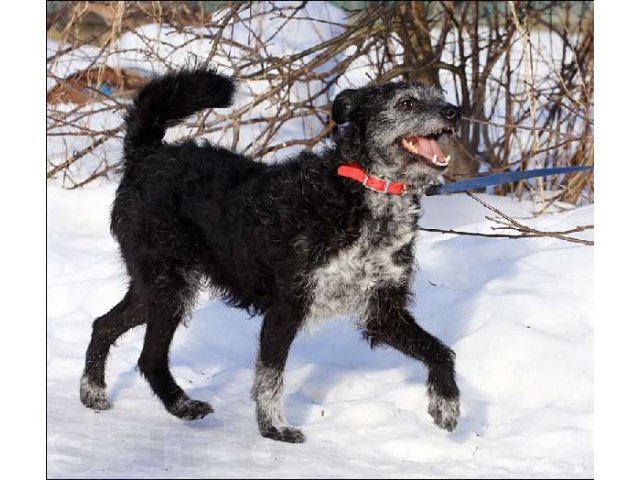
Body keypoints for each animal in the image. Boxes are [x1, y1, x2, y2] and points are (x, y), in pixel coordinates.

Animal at [80, 67, 462, 442]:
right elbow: (270, 376)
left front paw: (446, 403)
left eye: (440, 96)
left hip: (153, 287)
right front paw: (273, 428)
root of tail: (145, 154)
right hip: (170, 285)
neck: (367, 190)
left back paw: (94, 392)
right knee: (150, 356)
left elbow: (440, 351)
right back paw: (179, 404)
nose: (453, 112)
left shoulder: (383, 310)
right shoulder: (287, 305)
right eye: (406, 103)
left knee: (104, 324)